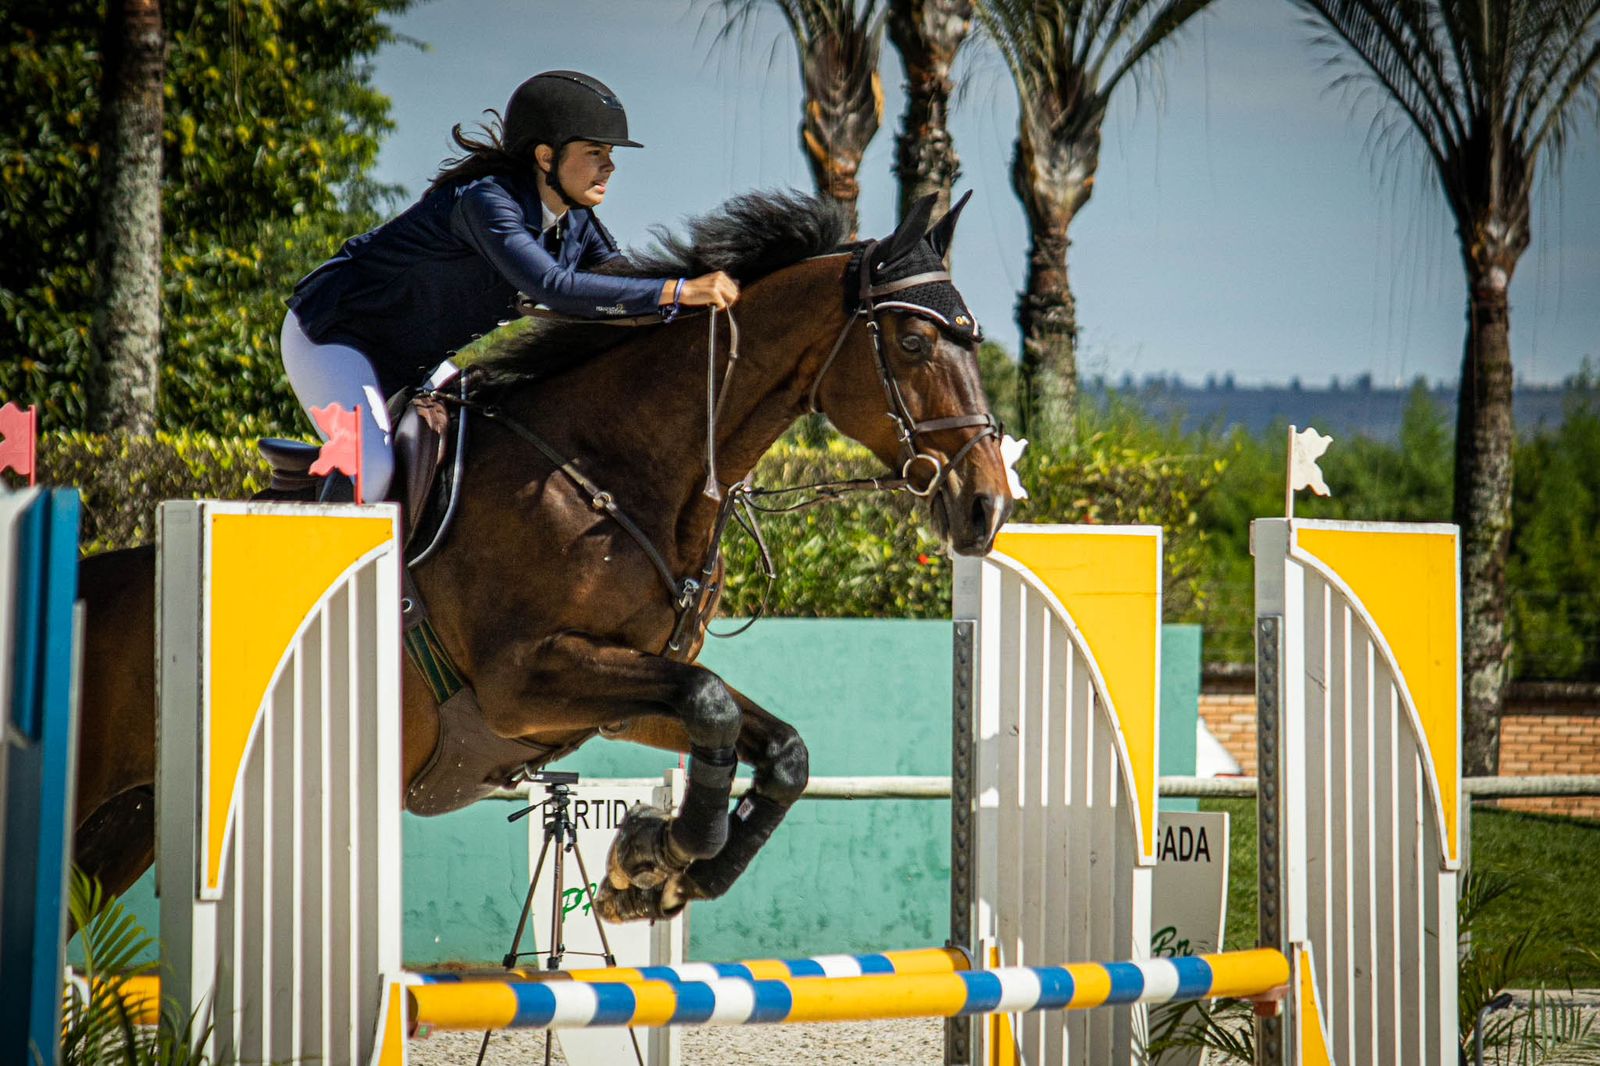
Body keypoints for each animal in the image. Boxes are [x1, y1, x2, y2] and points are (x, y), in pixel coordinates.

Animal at [68, 191, 1011, 921]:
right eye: (915, 343)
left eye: (973, 342)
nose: (988, 506)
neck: (618, 470)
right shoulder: (522, 678)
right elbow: (712, 703)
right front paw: (655, 858)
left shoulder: (620, 695)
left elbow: (774, 747)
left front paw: (658, 872)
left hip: (131, 824)